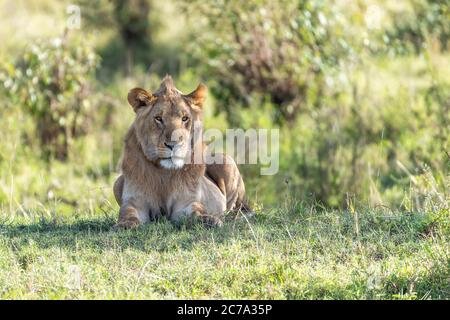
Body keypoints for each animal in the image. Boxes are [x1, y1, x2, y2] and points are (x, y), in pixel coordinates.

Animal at [112, 76, 250, 229]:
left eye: (185, 118)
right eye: (158, 118)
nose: (173, 145)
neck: (164, 173)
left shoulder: (186, 203)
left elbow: (197, 211)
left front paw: (209, 220)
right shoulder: (135, 201)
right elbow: (128, 212)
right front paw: (124, 224)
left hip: (225, 161)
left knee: (238, 207)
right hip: (117, 182)